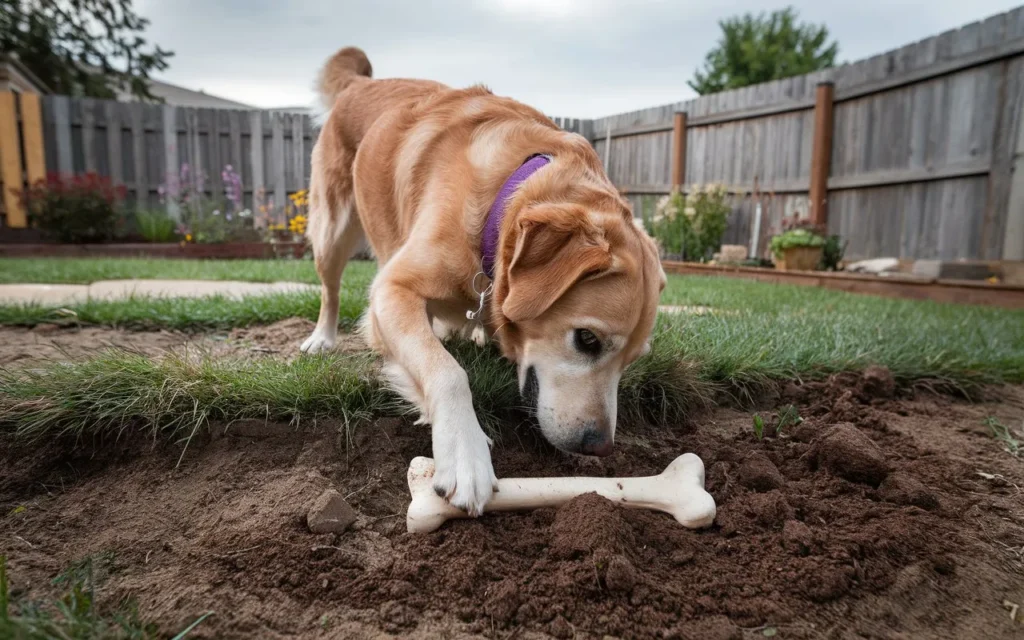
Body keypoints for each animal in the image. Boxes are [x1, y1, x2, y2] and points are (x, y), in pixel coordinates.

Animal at [299, 46, 667, 514]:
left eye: (633, 360)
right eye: (587, 339)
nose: (599, 446)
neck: (500, 200)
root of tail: (360, 83)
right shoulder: (391, 289)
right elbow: (448, 372)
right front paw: (465, 453)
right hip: (332, 227)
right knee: (330, 289)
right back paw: (322, 338)